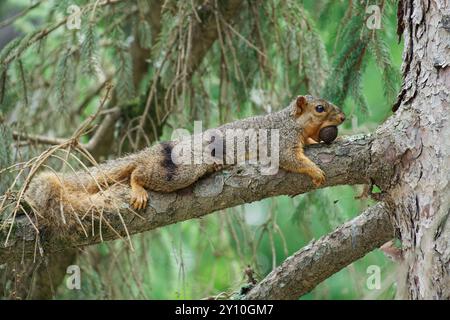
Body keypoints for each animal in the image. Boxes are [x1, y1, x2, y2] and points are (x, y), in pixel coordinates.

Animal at [25, 96, 344, 226]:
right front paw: (315, 171)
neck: (291, 122)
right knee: (138, 173)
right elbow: (290, 159)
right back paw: (138, 187)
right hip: (179, 172)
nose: (342, 117)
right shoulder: (280, 143)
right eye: (320, 108)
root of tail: (149, 152)